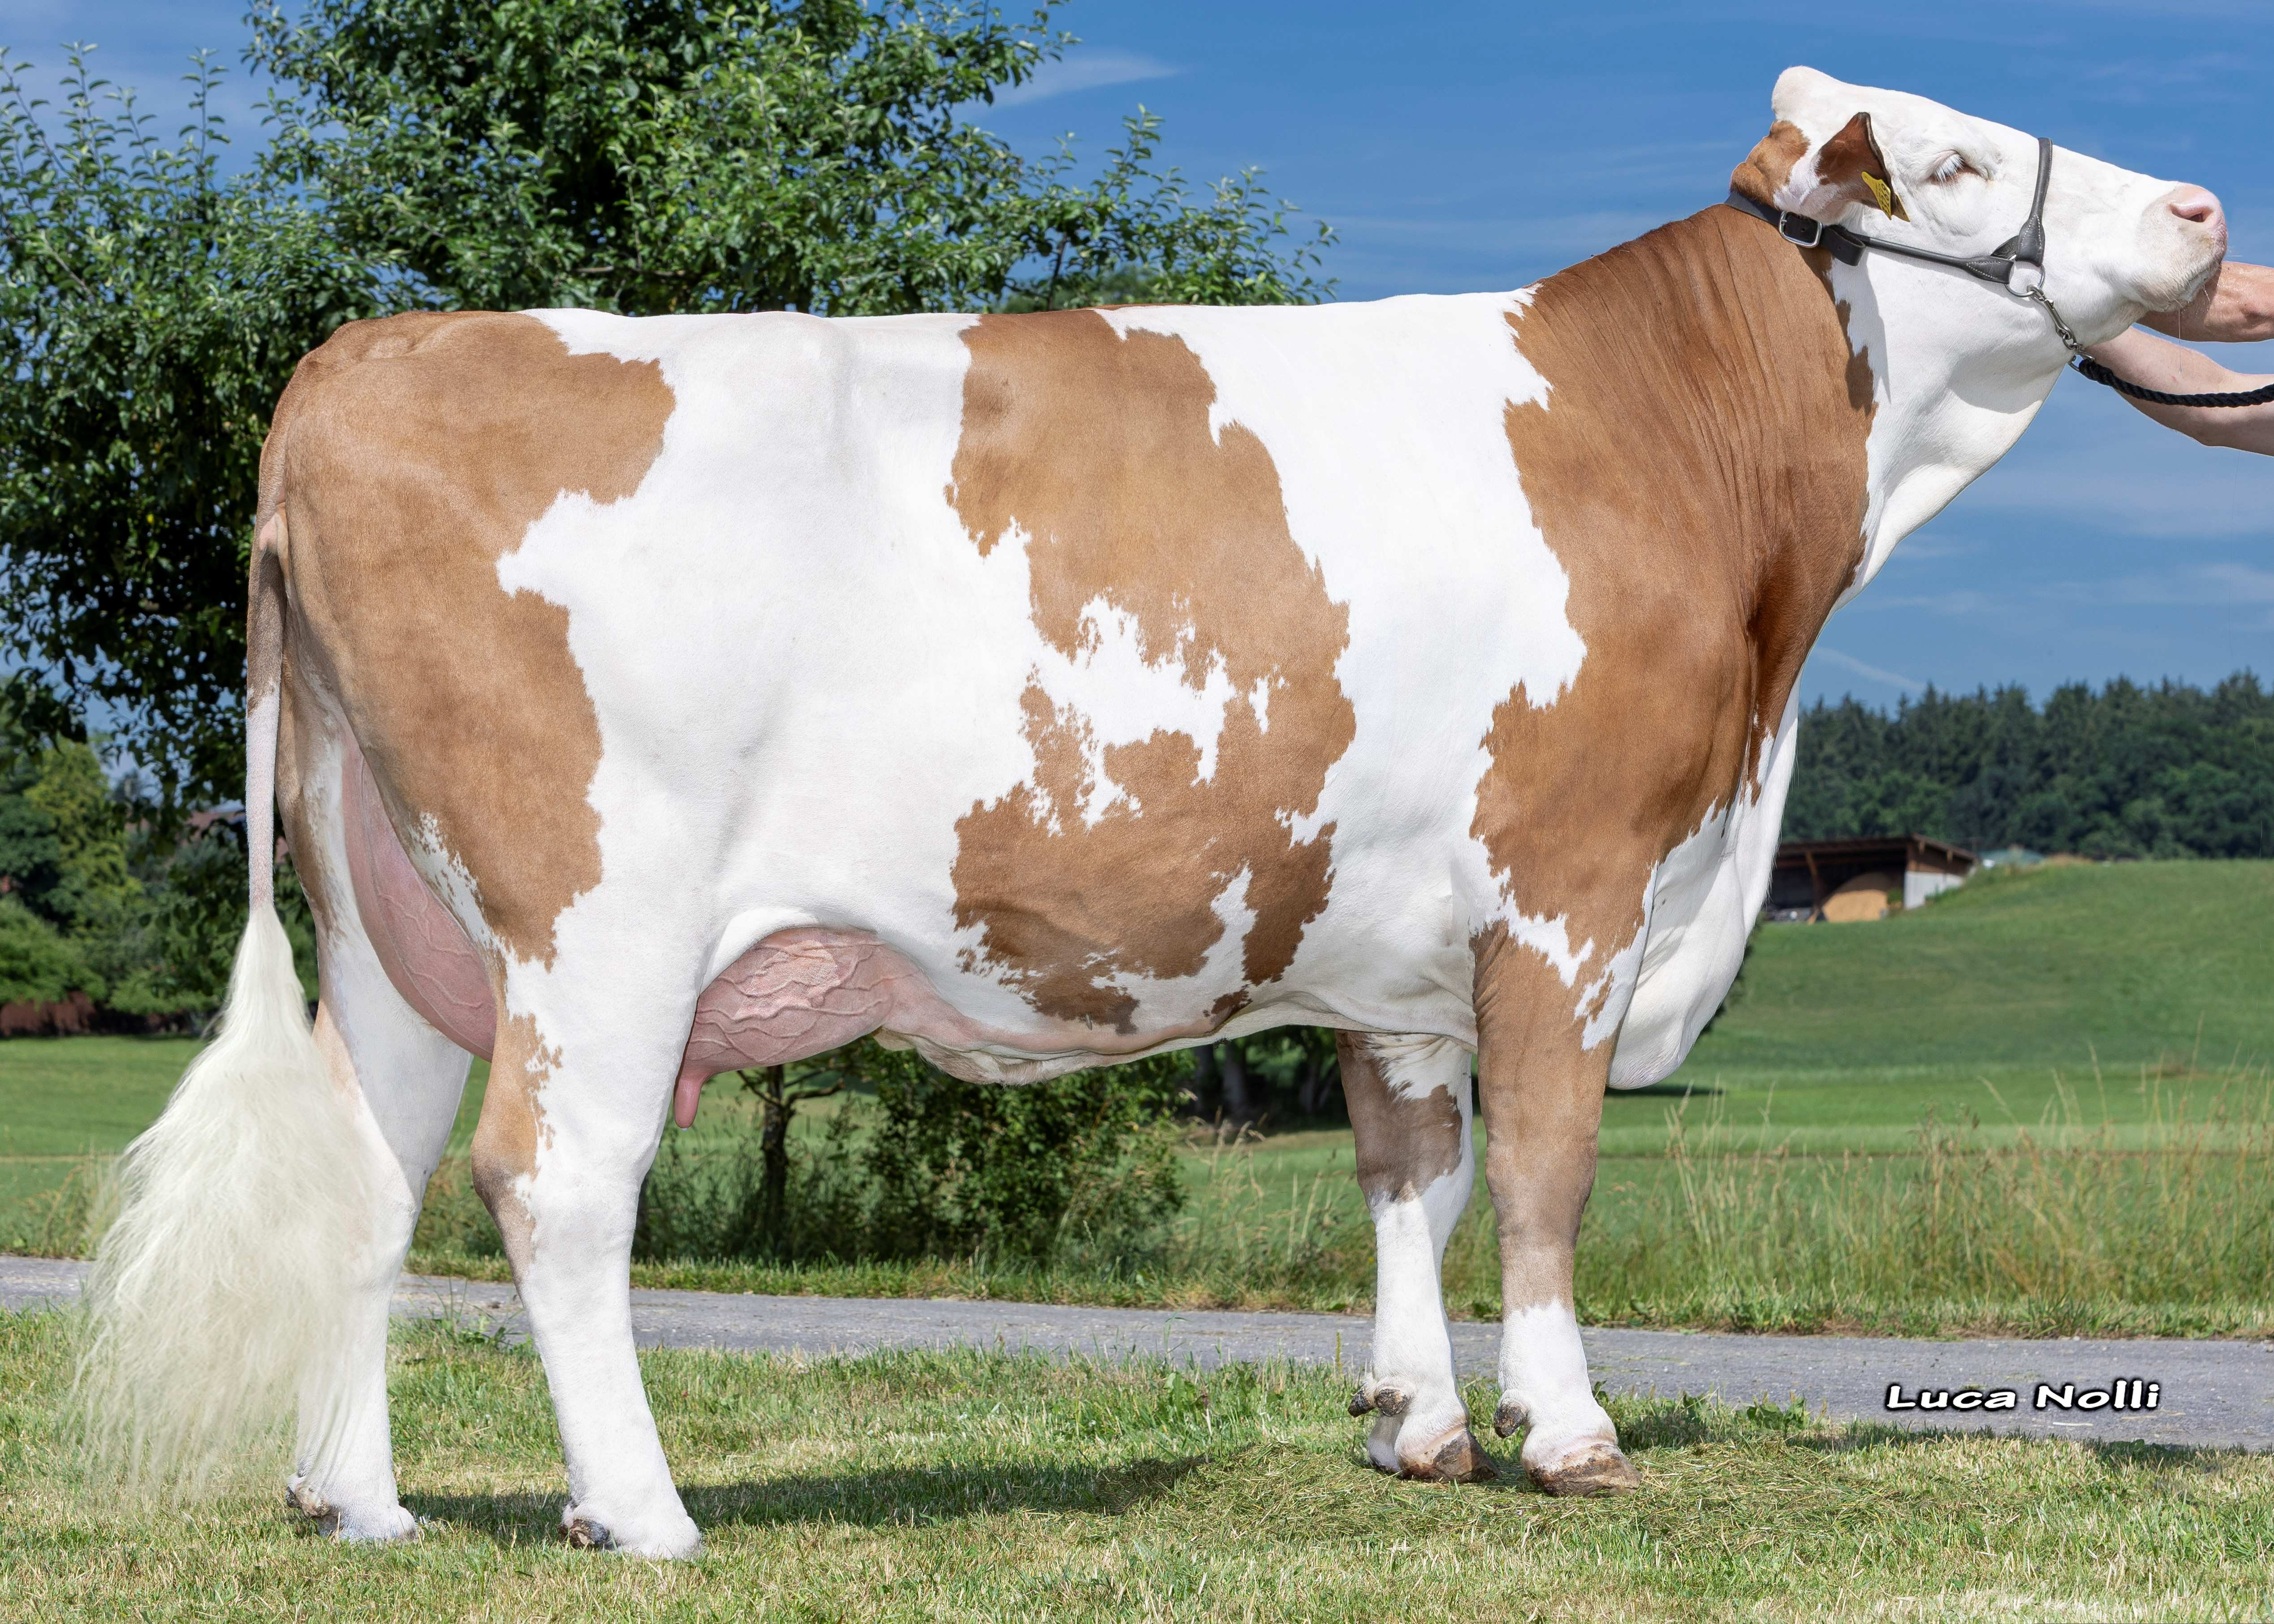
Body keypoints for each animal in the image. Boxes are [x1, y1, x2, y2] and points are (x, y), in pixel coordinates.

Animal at [80, 67, 2224, 1554]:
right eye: (1955, 165)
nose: (2204, 200)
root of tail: (368, 354)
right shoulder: (1568, 885)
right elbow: (1541, 1174)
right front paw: (1570, 1433)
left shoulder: (1394, 941)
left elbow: (1408, 1165)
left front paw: (1414, 1423)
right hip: (595, 915)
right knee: (555, 1174)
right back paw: (643, 1510)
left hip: (392, 922)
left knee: (372, 1177)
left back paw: (359, 1501)